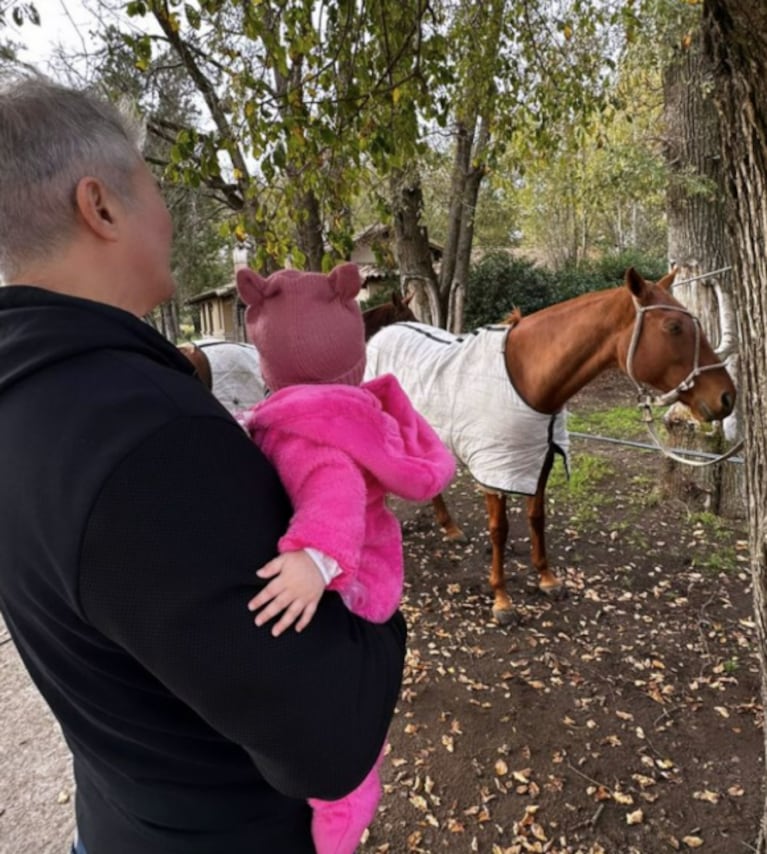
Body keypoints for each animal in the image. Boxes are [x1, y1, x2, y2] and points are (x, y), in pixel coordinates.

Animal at [366, 270, 736, 624]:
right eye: (673, 326)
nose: (727, 397)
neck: (526, 378)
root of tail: (382, 334)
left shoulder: (540, 458)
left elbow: (536, 517)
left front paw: (547, 579)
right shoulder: (494, 469)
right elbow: (499, 530)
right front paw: (502, 600)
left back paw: (450, 528)